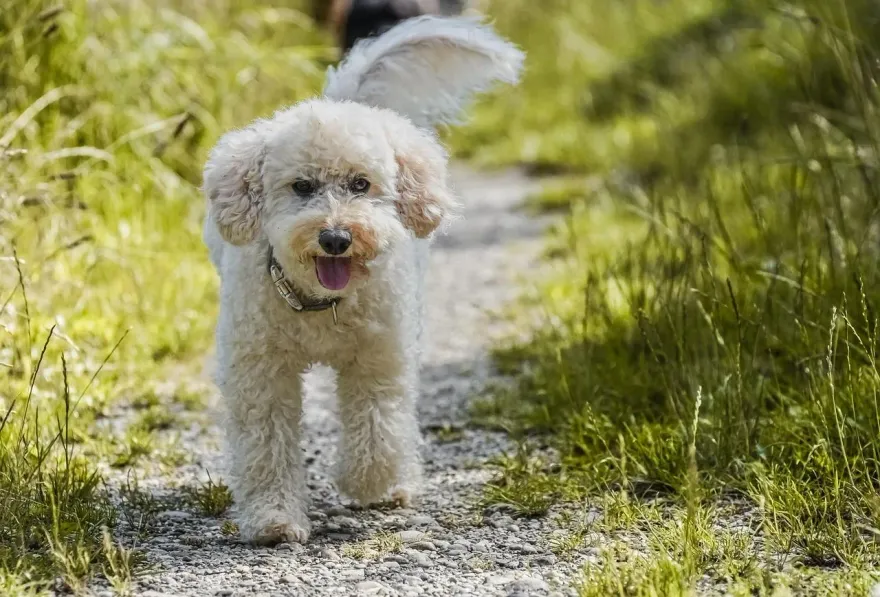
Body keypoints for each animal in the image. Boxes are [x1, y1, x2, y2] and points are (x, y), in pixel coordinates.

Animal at [201, 15, 524, 544]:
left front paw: (370, 485)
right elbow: (266, 445)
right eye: (302, 186)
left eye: (361, 184)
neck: (320, 302)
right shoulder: (260, 372)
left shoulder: (378, 357)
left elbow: (378, 426)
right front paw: (274, 518)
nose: (335, 237)